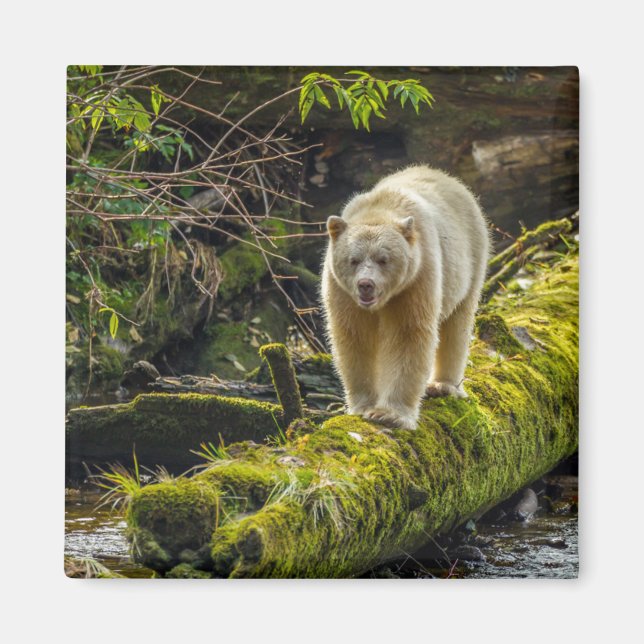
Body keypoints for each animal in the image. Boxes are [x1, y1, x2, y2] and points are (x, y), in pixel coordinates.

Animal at [321, 165, 490, 430]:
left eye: (383, 259)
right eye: (353, 260)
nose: (365, 285)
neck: (379, 210)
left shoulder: (416, 280)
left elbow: (408, 335)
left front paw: (390, 414)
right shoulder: (341, 291)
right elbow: (354, 338)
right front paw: (363, 406)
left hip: (469, 262)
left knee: (457, 325)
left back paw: (443, 385)